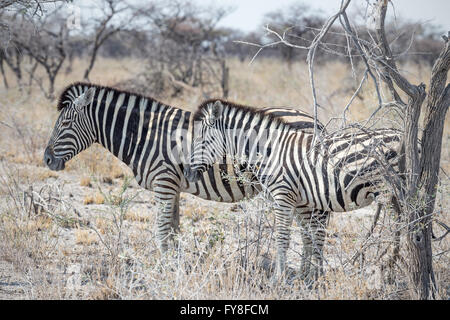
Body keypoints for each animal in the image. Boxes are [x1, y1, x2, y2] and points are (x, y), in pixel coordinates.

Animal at [43, 82, 324, 258]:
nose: (46, 159)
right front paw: (178, 265)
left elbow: (161, 231)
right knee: (309, 232)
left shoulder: (164, 183)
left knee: (315, 230)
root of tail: (312, 119)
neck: (145, 135)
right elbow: (174, 230)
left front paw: (165, 268)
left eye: (65, 123)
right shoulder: (173, 187)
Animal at [185, 99, 402, 282]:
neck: (270, 152)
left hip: (391, 189)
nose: (187, 173)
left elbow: (282, 237)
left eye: (200, 140)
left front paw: (278, 280)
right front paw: (303, 277)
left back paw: (392, 268)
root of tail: (400, 134)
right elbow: (302, 236)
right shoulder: (295, 200)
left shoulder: (282, 196)